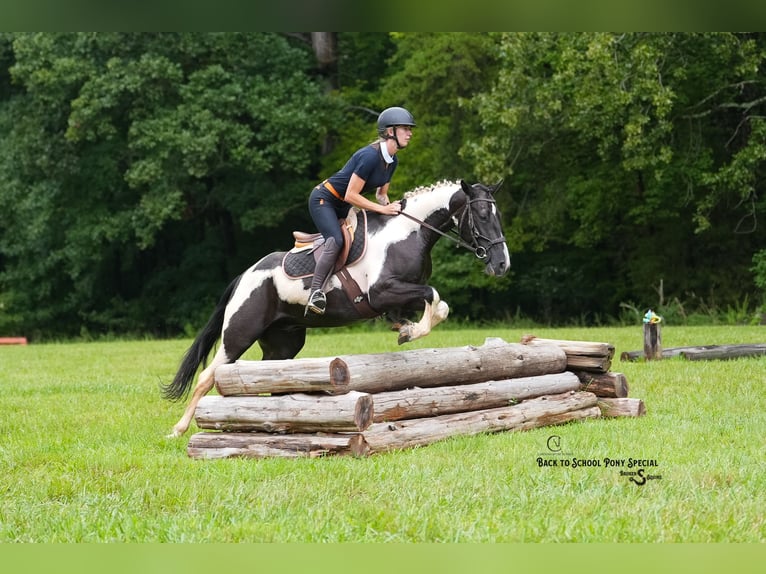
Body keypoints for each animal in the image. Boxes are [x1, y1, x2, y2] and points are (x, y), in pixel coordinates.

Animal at [163, 179, 510, 437]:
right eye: (481, 214)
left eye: (498, 215)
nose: (502, 264)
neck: (408, 235)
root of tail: (244, 275)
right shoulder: (381, 292)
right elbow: (435, 297)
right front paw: (412, 332)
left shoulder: (398, 296)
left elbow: (437, 304)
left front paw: (404, 328)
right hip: (239, 333)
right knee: (208, 376)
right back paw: (179, 429)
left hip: (283, 342)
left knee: (270, 377)